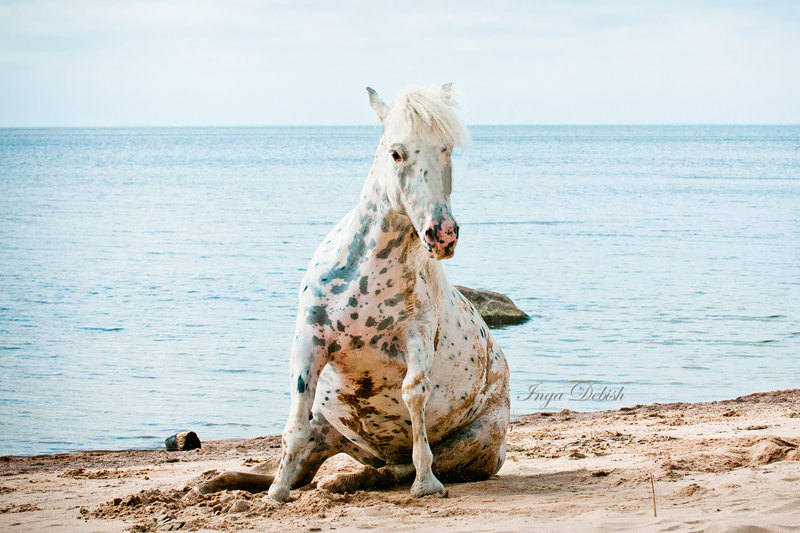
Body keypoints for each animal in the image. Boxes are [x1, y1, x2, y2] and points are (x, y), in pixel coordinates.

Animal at [198, 82, 510, 498]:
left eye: (446, 148)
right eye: (396, 152)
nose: (442, 234)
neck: (368, 274)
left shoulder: (416, 341)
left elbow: (414, 398)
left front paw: (426, 484)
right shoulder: (308, 345)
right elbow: (293, 428)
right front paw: (276, 495)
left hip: (476, 440)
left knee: (393, 469)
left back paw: (346, 481)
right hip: (326, 433)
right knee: (302, 465)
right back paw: (215, 483)